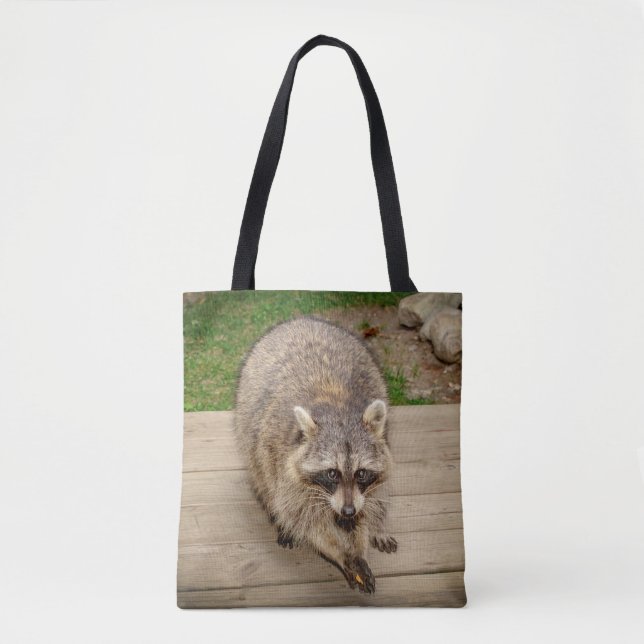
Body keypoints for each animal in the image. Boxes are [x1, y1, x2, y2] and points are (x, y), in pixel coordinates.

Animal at [235, 316, 397, 594]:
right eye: (332, 473)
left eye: (361, 473)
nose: (348, 511)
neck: (337, 406)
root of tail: (300, 319)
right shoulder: (281, 463)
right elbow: (305, 520)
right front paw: (340, 554)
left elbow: (368, 505)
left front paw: (361, 542)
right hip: (250, 435)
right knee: (262, 480)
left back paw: (378, 525)